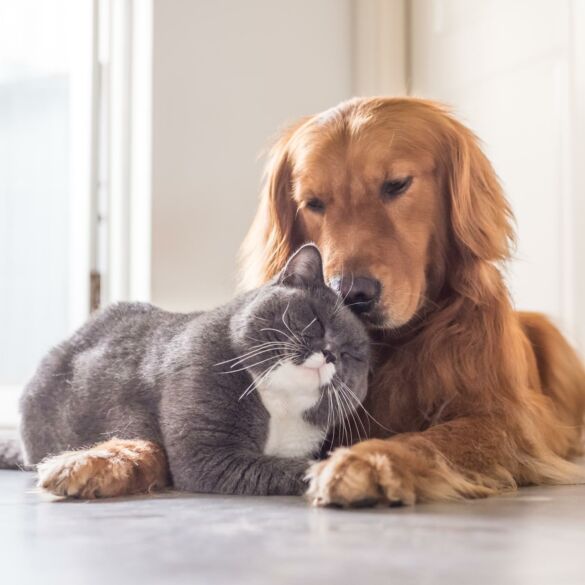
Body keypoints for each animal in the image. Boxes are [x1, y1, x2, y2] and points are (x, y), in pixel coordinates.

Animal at [2, 244, 370, 496]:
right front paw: (337, 473)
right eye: (316, 320)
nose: (330, 354)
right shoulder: (208, 455)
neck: (279, 406)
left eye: (352, 355)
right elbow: (291, 468)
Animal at [238, 97, 584, 506]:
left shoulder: (505, 421)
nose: (350, 293)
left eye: (397, 185)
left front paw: (367, 460)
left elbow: (432, 439)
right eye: (313, 203)